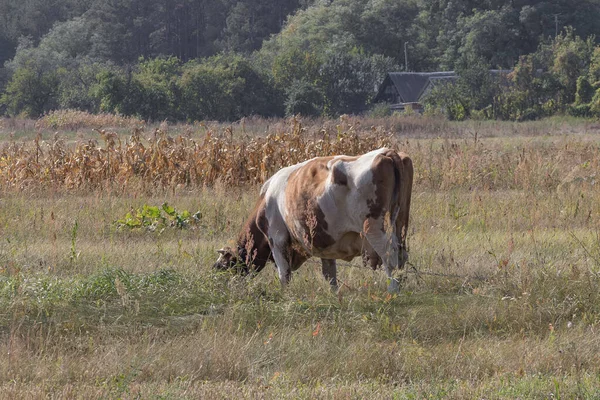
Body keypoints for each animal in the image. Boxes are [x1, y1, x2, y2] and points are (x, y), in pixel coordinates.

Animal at [213, 148, 414, 292]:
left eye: (225, 264)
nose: (215, 275)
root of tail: (386, 152)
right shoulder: (326, 243)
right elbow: (329, 274)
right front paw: (334, 294)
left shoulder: (277, 238)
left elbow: (284, 273)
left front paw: (284, 295)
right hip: (400, 223)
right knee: (401, 254)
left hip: (372, 228)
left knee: (389, 255)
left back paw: (393, 290)